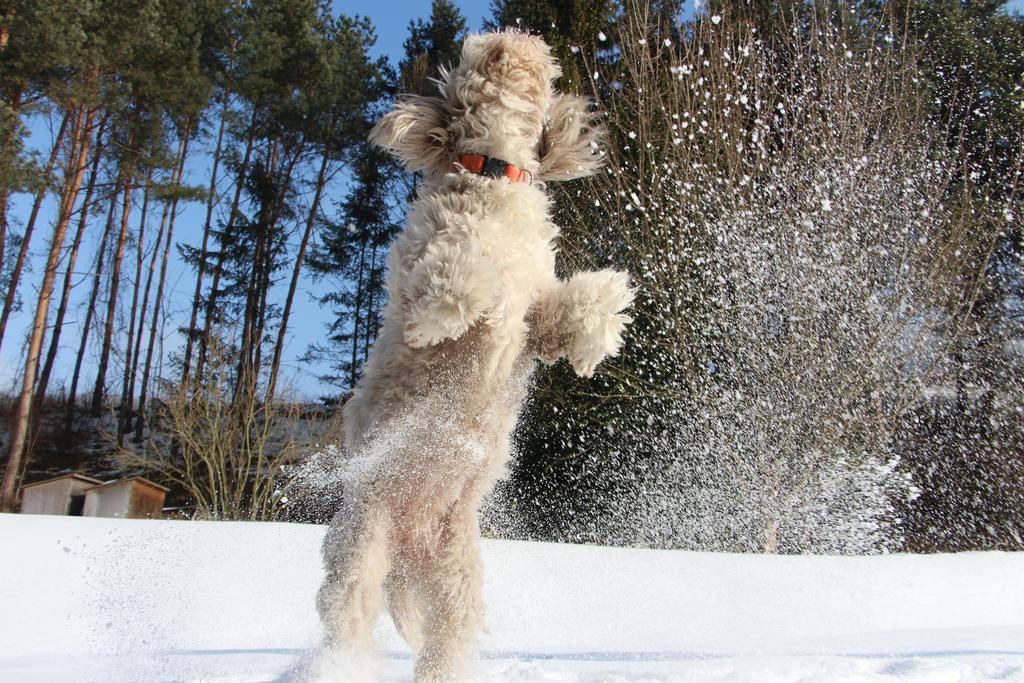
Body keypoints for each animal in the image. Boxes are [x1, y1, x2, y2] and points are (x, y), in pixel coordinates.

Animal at [319, 29, 634, 679]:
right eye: (466, 57)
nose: (515, 36)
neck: (496, 172)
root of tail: (408, 545)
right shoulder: (424, 264)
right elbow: (463, 276)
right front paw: (447, 314)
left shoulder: (538, 317)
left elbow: (573, 306)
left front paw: (595, 340)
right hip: (358, 549)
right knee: (348, 618)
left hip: (455, 579)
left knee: (443, 642)